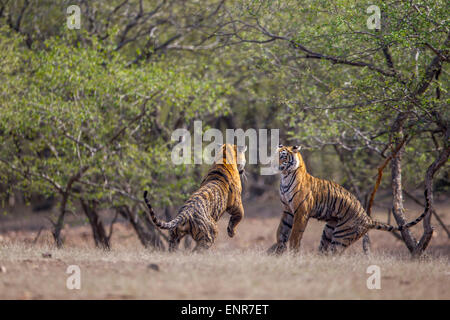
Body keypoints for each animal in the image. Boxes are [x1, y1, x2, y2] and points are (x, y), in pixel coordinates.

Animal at [268, 145, 428, 255]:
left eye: (283, 156)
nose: (272, 163)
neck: (285, 177)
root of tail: (368, 219)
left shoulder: (301, 211)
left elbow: (295, 234)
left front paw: (292, 253)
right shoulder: (288, 210)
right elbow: (281, 231)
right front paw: (277, 250)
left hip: (341, 236)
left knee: (333, 254)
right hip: (329, 230)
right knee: (324, 250)